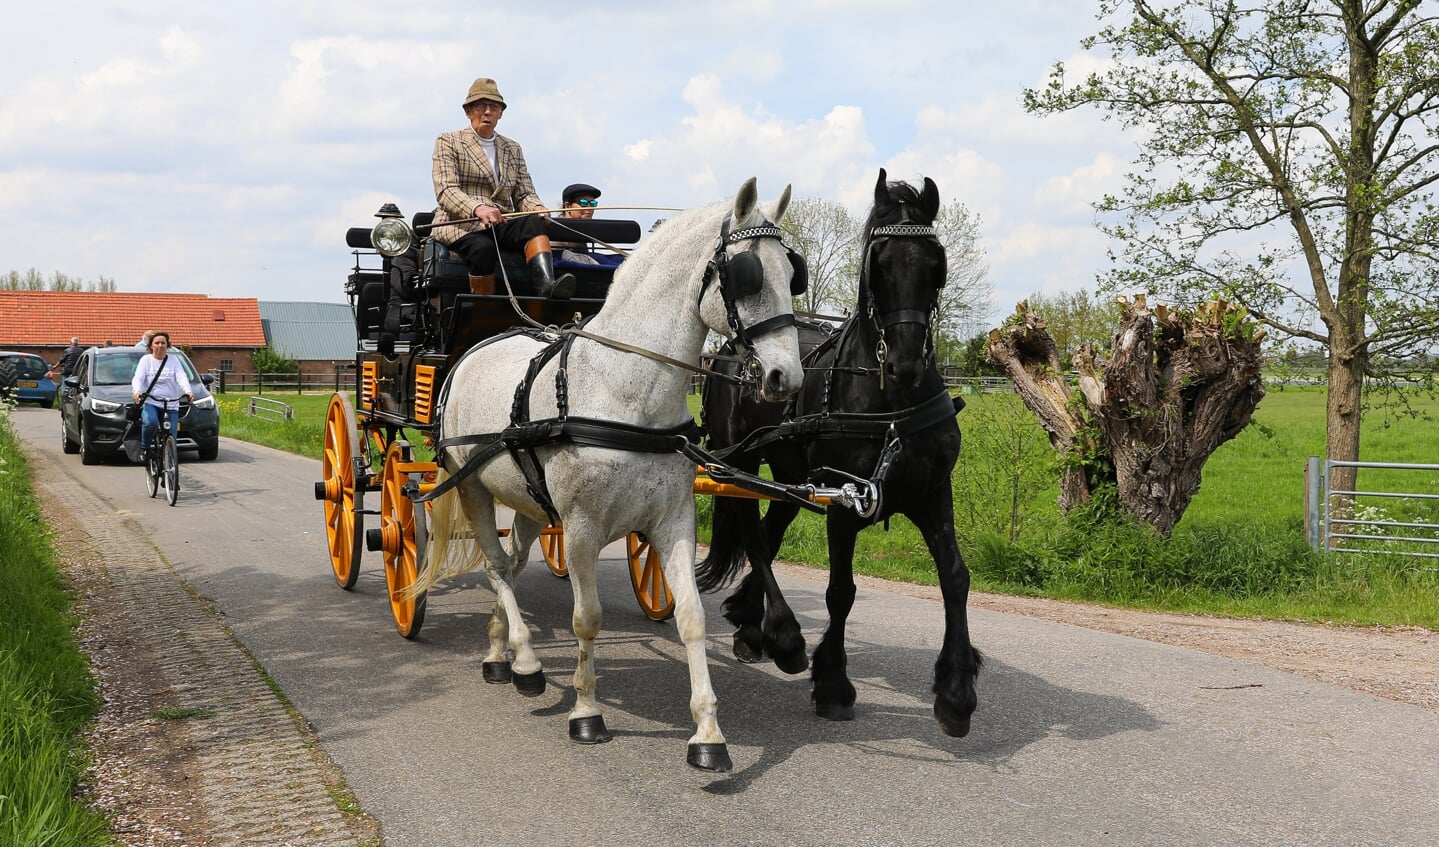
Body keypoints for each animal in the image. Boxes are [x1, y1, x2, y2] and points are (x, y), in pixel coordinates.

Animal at [411, 176, 805, 765]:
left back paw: (500, 652)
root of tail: (472, 351)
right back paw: (526, 660)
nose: (787, 378)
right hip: (474, 485)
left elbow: (691, 617)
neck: (625, 390)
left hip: (530, 500)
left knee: (512, 562)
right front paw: (586, 712)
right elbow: (586, 619)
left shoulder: (673, 522)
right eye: (747, 275)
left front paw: (708, 733)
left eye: (790, 271)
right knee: (497, 567)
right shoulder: (579, 529)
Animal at [693, 166, 984, 733]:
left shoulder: (932, 493)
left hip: (788, 471)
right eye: (879, 264)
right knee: (753, 535)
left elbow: (955, 579)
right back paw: (780, 636)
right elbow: (841, 591)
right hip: (738, 461)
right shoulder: (843, 502)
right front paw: (832, 682)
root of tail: (728, 352)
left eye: (935, 264)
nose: (905, 364)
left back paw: (750, 624)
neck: (892, 403)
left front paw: (956, 691)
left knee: (770, 530)